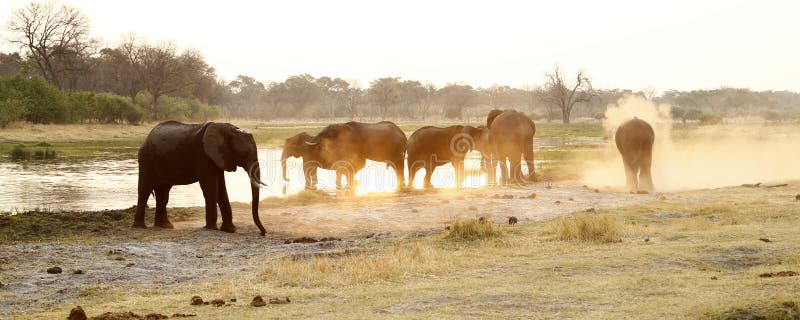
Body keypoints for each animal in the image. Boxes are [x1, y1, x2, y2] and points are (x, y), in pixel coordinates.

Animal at [133, 121, 268, 236]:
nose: (263, 233)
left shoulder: (218, 156)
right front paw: (211, 228)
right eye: (245, 153)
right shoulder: (203, 155)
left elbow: (221, 189)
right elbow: (211, 187)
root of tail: (147, 138)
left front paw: (230, 230)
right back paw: (140, 227)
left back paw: (165, 226)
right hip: (146, 158)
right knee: (145, 190)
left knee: (163, 193)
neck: (228, 128)